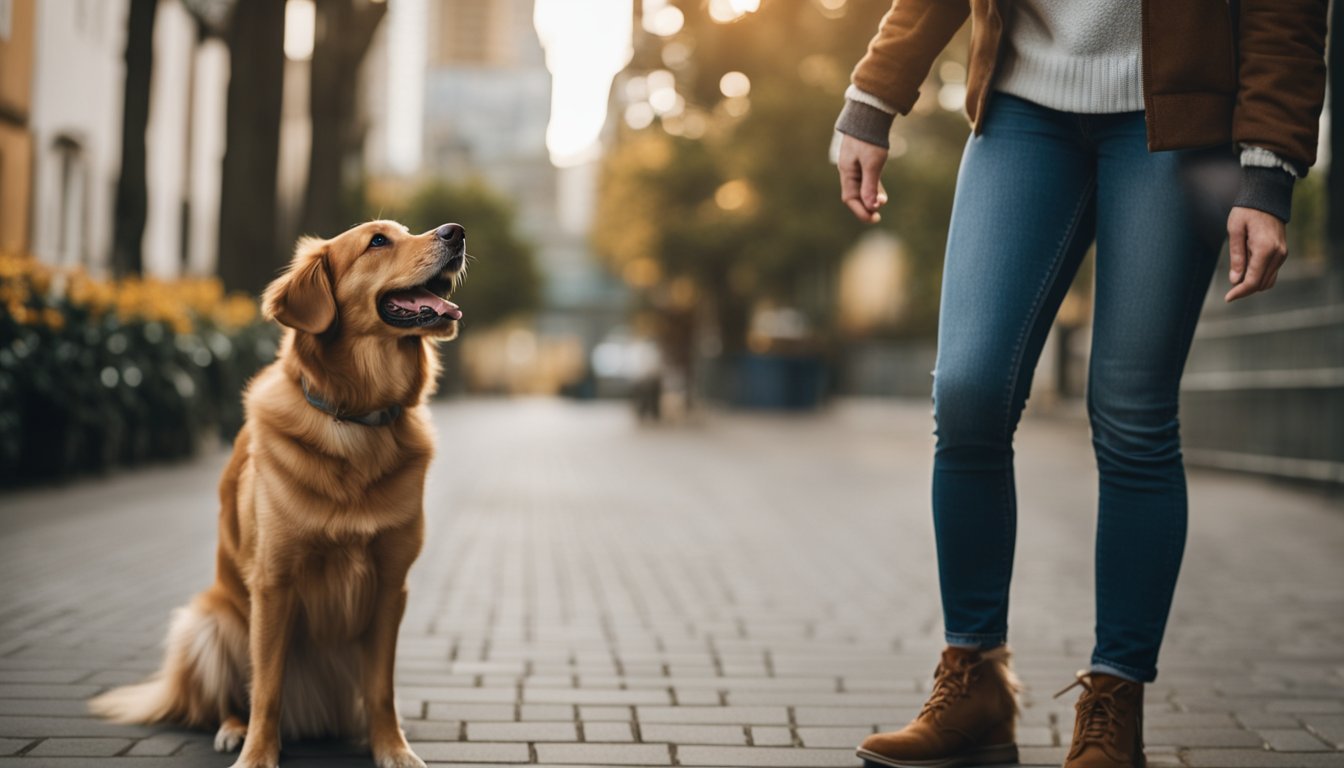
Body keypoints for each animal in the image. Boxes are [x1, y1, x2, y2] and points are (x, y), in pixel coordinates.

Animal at [89, 219, 467, 763]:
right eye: (377, 241)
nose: (456, 232)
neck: (356, 420)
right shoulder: (274, 582)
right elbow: (266, 686)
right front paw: (257, 755)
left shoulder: (391, 585)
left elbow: (382, 689)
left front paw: (393, 749)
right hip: (209, 624)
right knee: (228, 699)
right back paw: (233, 730)